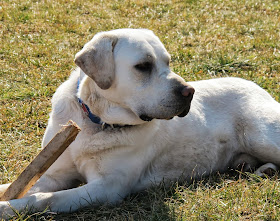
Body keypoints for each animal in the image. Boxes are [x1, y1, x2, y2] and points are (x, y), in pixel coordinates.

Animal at [0, 28, 280, 218]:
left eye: (168, 62)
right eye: (143, 66)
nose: (189, 92)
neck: (96, 121)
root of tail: (257, 87)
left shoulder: (107, 187)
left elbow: (44, 199)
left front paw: (9, 207)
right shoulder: (54, 173)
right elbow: (25, 186)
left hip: (260, 136)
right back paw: (262, 170)